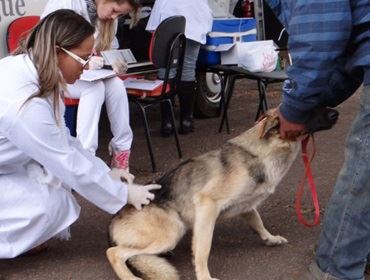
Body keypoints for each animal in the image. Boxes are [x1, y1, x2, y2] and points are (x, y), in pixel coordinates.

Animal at [106, 107, 338, 280]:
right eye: (310, 105)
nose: (335, 113)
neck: (262, 152)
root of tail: (113, 222)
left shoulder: (247, 207)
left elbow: (258, 222)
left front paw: (270, 238)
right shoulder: (207, 206)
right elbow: (202, 249)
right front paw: (204, 276)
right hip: (173, 230)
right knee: (115, 253)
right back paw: (129, 275)